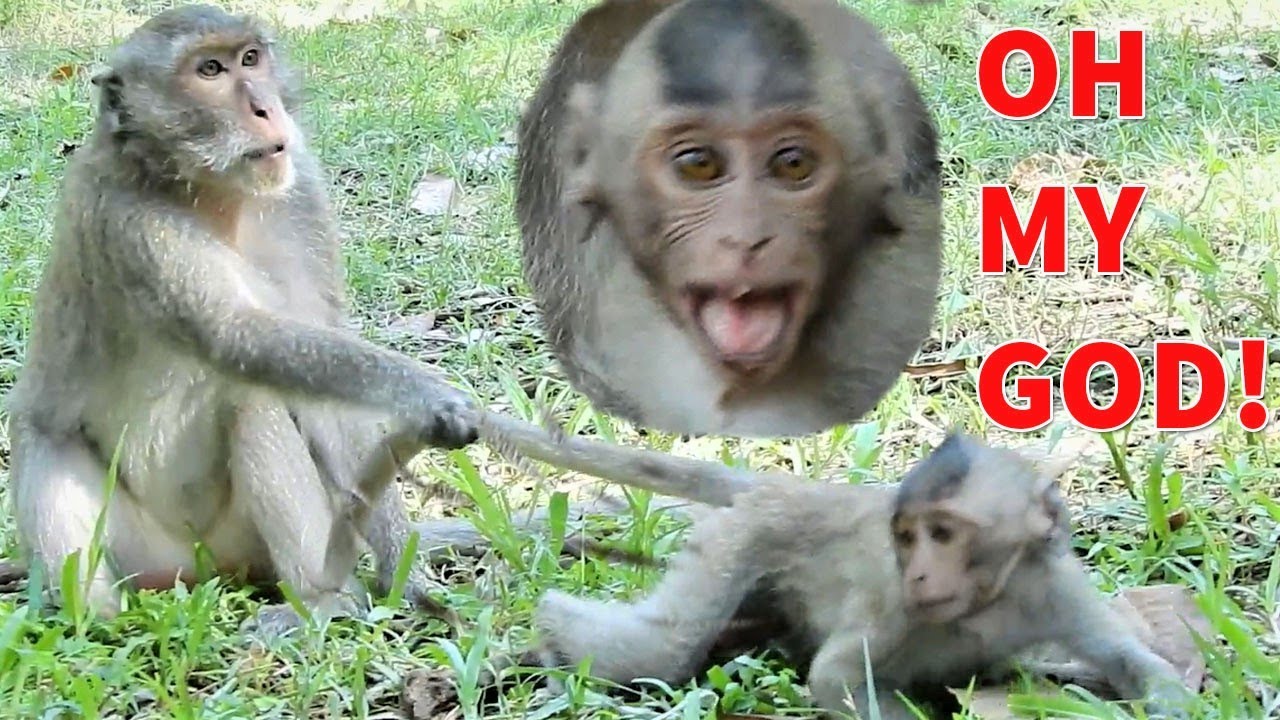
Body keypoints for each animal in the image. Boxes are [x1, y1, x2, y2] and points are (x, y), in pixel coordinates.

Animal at [4, 5, 479, 636]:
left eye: (251, 59)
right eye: (210, 69)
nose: (264, 107)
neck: (211, 192)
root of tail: (202, 570)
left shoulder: (300, 187)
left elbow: (322, 369)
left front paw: (408, 570)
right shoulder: (128, 219)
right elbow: (236, 336)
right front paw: (426, 395)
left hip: (240, 542)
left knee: (260, 402)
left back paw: (320, 596)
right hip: (136, 547)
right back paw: (319, 603)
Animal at [464, 425, 1192, 719]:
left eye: (943, 533)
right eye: (907, 538)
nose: (920, 575)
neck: (986, 601)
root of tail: (797, 490)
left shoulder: (1051, 584)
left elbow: (1126, 654)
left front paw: (1171, 699)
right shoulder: (894, 606)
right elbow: (836, 677)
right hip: (740, 538)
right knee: (665, 647)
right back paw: (553, 631)